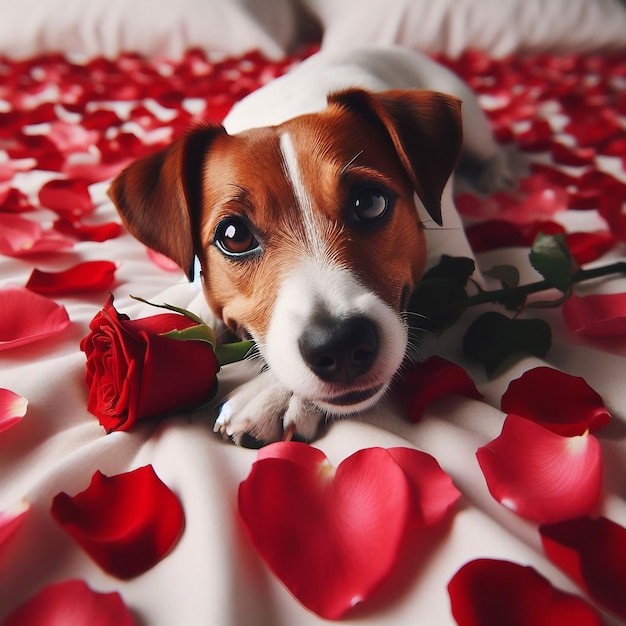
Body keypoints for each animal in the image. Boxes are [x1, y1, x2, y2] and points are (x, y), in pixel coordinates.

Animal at [109, 45, 510, 444]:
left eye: (370, 202)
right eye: (234, 236)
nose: (340, 344)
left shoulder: (461, 276)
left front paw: (274, 393)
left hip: (473, 127)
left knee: (489, 148)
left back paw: (496, 173)